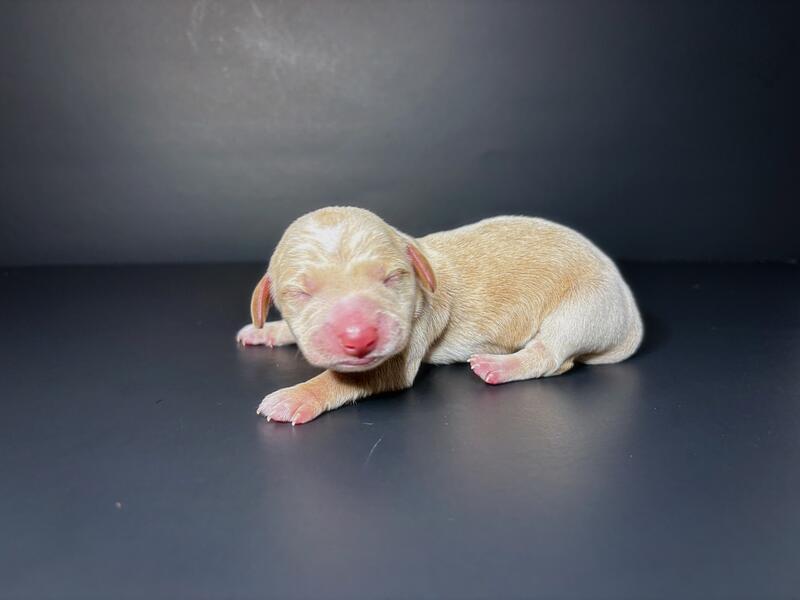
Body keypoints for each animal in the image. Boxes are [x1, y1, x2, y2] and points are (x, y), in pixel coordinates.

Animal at [237, 207, 643, 424]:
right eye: (300, 293)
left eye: (392, 278)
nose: (360, 337)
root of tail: (629, 310)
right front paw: (266, 330)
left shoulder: (403, 347)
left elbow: (349, 379)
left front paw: (295, 397)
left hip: (583, 307)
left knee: (553, 356)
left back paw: (500, 366)